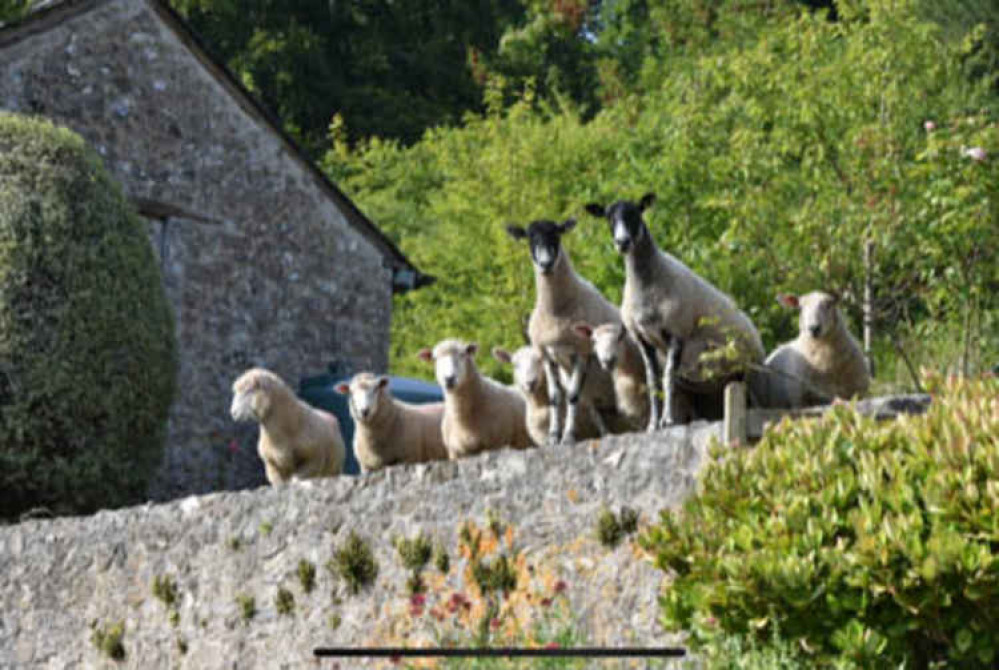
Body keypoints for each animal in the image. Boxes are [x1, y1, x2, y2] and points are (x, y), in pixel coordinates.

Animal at [504, 218, 620, 444]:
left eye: (556, 234)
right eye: (530, 237)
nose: (546, 263)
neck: (556, 312)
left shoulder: (581, 352)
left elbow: (573, 396)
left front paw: (567, 437)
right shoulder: (547, 355)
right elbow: (555, 397)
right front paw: (553, 436)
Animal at [584, 193, 764, 430]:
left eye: (635, 213)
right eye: (608, 217)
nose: (622, 242)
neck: (647, 284)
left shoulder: (676, 333)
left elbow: (668, 377)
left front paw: (668, 420)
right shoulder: (644, 340)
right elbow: (653, 381)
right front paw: (653, 423)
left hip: (749, 374)